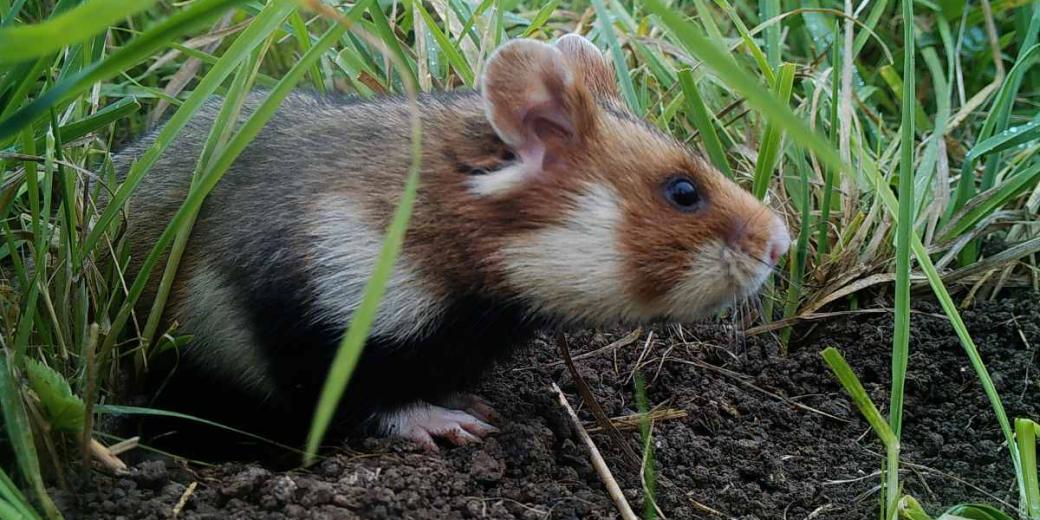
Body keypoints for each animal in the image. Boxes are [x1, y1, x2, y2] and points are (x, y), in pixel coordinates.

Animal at [111, 34, 789, 452]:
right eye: (683, 191)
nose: (782, 243)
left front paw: (476, 405)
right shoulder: (310, 316)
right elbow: (360, 400)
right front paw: (456, 425)